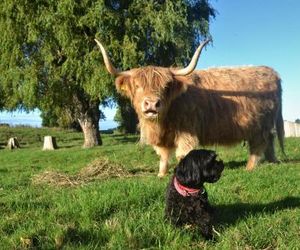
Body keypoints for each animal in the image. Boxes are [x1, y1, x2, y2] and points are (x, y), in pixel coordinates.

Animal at [95, 39, 284, 177]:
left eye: (166, 86)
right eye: (137, 85)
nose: (152, 104)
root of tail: (272, 72)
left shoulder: (186, 132)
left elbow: (182, 154)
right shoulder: (164, 138)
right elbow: (163, 156)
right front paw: (161, 175)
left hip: (260, 125)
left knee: (259, 145)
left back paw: (250, 167)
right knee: (270, 140)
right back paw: (273, 161)